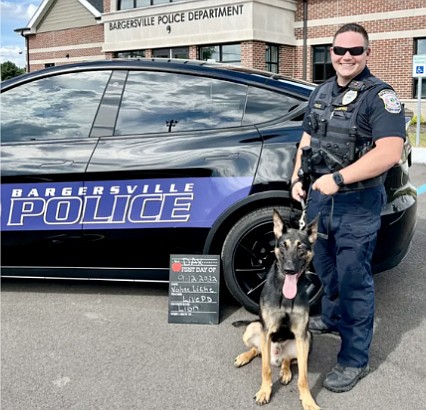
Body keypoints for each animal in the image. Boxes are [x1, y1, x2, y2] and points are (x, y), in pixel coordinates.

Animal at [233, 210, 320, 408]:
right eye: (283, 246)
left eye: (301, 249)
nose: (288, 270)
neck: (284, 295)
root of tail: (277, 357)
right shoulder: (266, 331)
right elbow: (265, 369)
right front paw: (265, 391)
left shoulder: (301, 334)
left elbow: (303, 378)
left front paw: (308, 400)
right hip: (253, 328)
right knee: (258, 351)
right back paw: (244, 357)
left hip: (308, 339)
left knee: (288, 360)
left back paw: (285, 370)